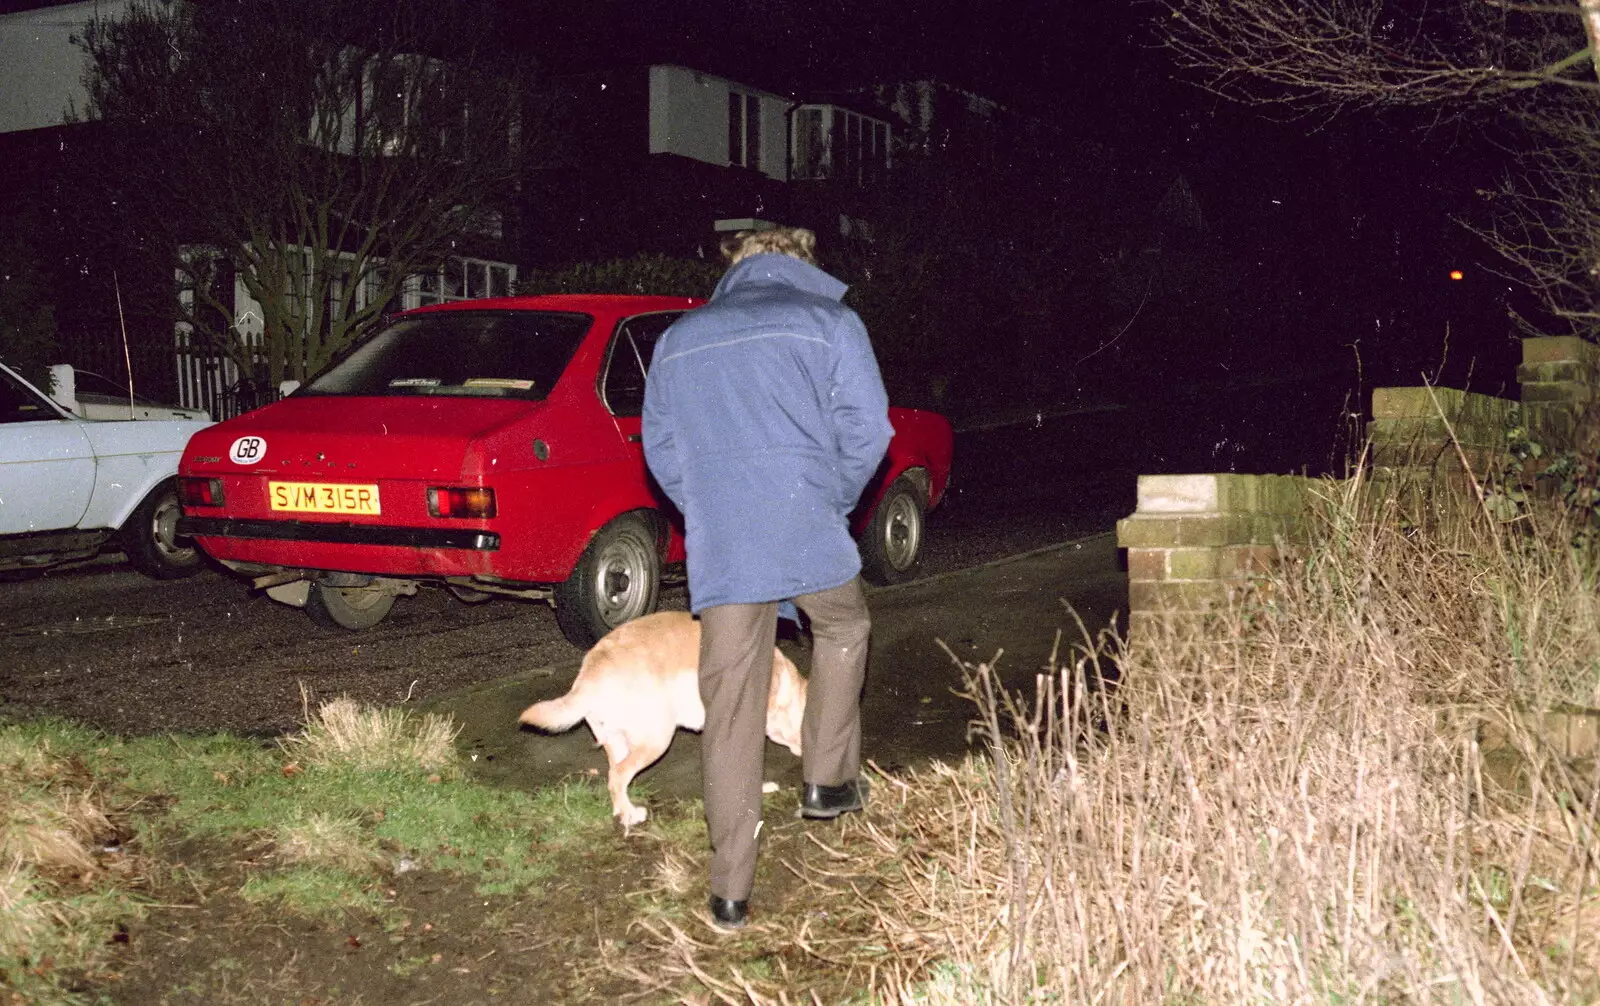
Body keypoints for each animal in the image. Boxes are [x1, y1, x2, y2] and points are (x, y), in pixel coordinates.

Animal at [518, 607, 806, 825]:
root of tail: (593, 668)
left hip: (618, 742)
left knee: (614, 776)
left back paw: (624, 811)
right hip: (658, 739)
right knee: (619, 775)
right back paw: (629, 815)